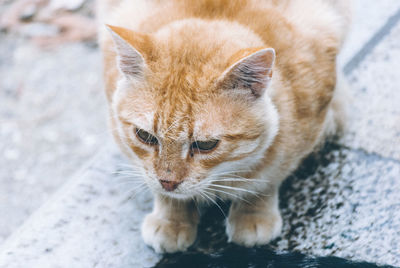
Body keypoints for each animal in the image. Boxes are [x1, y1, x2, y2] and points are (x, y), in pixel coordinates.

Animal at [97, 0, 350, 253]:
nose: (168, 183)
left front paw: (252, 211)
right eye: (145, 136)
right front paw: (171, 217)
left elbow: (267, 177)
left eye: (205, 145)